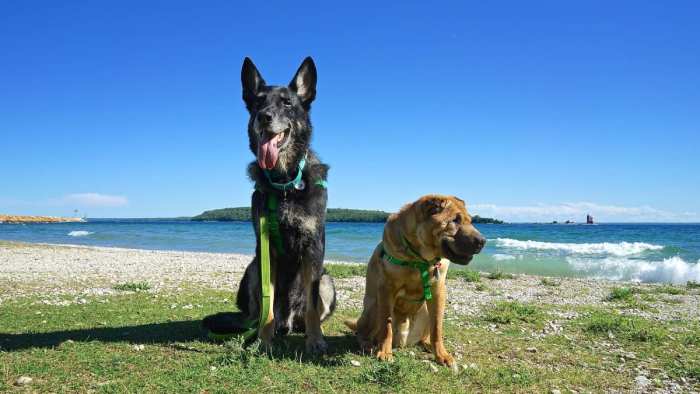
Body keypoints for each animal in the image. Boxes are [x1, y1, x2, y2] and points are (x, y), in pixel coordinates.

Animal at [232, 56, 336, 354]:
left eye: (287, 103)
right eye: (258, 102)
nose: (263, 117)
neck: (285, 185)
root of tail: (288, 319)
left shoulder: (313, 248)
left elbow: (312, 305)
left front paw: (315, 340)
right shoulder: (267, 251)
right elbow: (267, 305)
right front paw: (263, 340)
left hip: (327, 280)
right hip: (253, 270)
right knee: (259, 311)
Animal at [346, 194, 486, 370]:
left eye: (470, 220)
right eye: (455, 220)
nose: (483, 241)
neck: (419, 258)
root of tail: (404, 342)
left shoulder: (438, 291)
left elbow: (437, 329)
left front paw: (442, 355)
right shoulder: (386, 288)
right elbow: (386, 327)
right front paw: (384, 352)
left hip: (425, 310)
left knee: (426, 334)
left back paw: (426, 344)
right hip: (375, 305)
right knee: (362, 333)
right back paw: (368, 344)